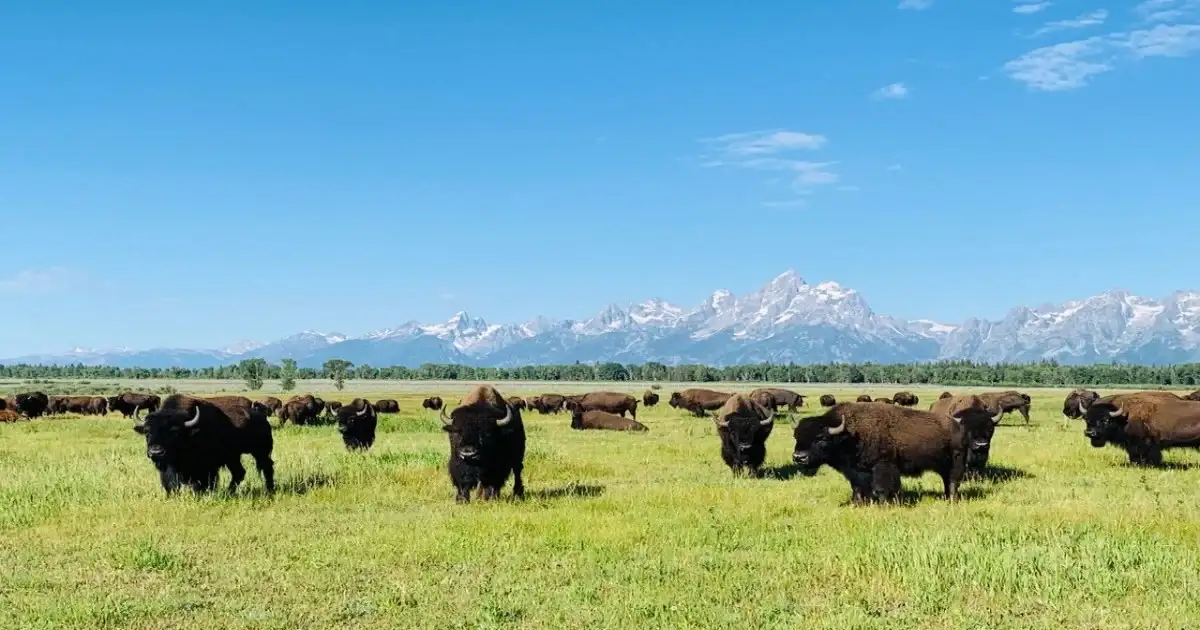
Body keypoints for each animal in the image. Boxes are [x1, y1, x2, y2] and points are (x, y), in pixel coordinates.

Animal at [133, 395, 275, 496]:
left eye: (174, 431)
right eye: (147, 432)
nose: (155, 452)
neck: (189, 431)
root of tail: (262, 418)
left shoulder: (206, 467)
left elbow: (202, 482)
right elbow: (170, 483)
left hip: (260, 452)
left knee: (266, 467)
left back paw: (269, 490)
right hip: (233, 457)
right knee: (239, 472)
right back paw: (229, 492)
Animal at [791, 403, 971, 504]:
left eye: (820, 438)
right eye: (796, 436)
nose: (799, 457)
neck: (849, 433)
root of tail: (959, 426)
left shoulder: (882, 466)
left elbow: (881, 487)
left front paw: (884, 503)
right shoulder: (855, 471)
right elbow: (857, 487)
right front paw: (857, 503)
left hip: (956, 461)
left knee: (953, 481)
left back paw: (952, 500)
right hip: (942, 465)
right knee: (947, 480)